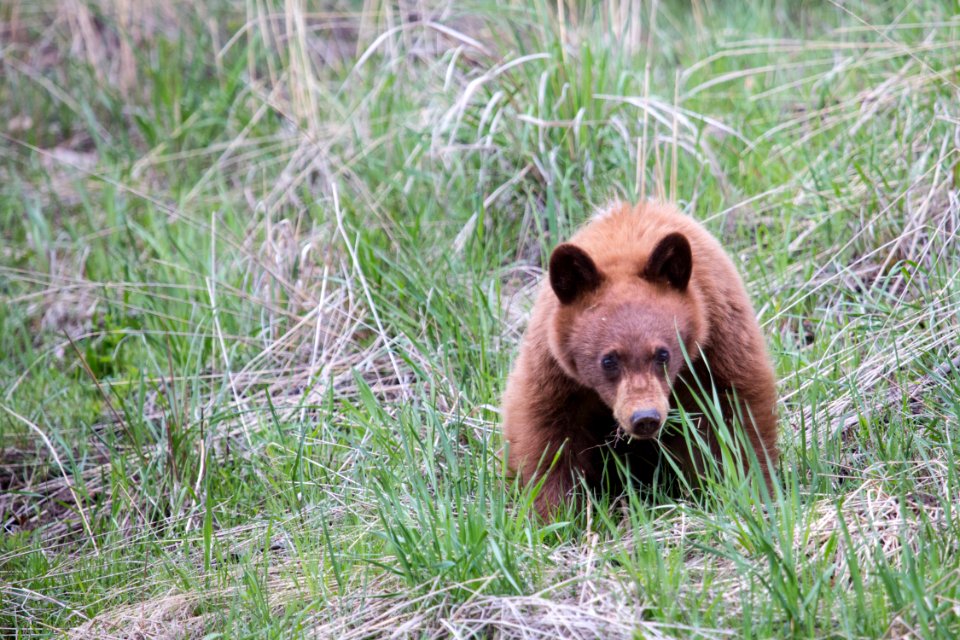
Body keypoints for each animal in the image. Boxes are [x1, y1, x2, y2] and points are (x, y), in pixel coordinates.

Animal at [502, 202, 780, 516]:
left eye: (663, 354)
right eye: (608, 360)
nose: (645, 418)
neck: (625, 245)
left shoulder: (717, 345)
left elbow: (735, 419)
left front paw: (750, 493)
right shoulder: (556, 373)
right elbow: (547, 438)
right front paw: (556, 513)